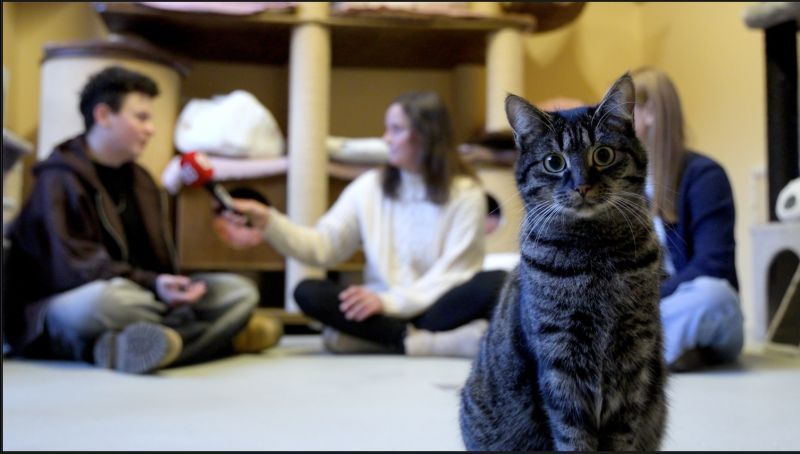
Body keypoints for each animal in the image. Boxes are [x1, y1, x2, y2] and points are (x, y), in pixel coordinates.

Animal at [459, 73, 667, 451]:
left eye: (603, 154)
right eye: (554, 162)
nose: (582, 185)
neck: (594, 257)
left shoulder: (634, 355)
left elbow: (622, 433)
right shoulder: (560, 356)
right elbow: (573, 433)